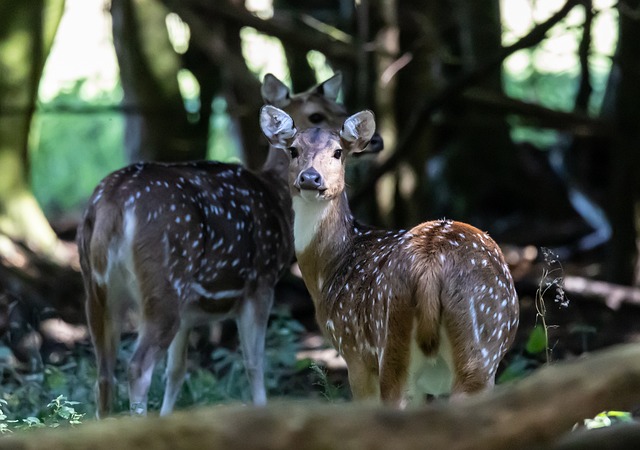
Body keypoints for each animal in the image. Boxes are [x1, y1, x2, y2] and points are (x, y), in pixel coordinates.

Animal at [260, 106, 520, 408]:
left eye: (338, 152)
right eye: (293, 150)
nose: (311, 178)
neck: (329, 270)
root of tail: (430, 262)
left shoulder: (353, 348)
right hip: (451, 349)